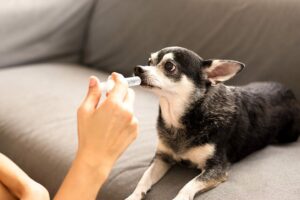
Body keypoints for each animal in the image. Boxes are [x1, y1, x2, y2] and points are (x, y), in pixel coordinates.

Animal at [125, 46, 300, 200]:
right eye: (149, 62)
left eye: (169, 66)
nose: (138, 69)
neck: (181, 121)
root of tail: (290, 92)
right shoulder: (162, 158)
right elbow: (144, 178)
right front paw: (133, 196)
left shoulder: (216, 168)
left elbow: (188, 185)